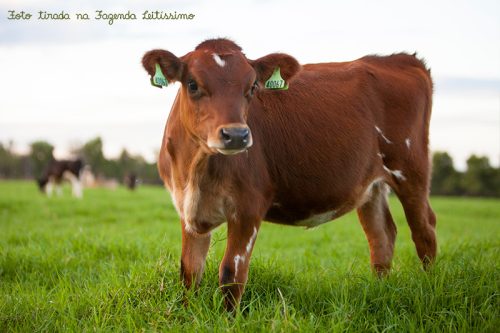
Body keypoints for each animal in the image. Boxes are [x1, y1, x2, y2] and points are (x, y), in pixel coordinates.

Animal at [142, 38, 438, 308]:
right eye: (192, 84)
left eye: (252, 87)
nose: (236, 135)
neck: (194, 171)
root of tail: (399, 59)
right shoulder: (187, 210)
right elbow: (190, 272)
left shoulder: (249, 206)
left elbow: (231, 274)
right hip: (371, 186)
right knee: (381, 236)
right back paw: (379, 291)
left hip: (411, 170)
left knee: (424, 230)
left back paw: (429, 289)